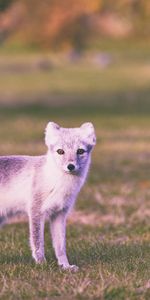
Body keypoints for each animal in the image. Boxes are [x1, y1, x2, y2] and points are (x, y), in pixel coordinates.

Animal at [0, 120, 96, 270]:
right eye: (60, 151)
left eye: (80, 151)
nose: (70, 166)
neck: (58, 183)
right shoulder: (36, 211)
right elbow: (38, 243)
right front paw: (42, 265)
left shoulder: (60, 214)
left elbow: (60, 246)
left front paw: (65, 266)